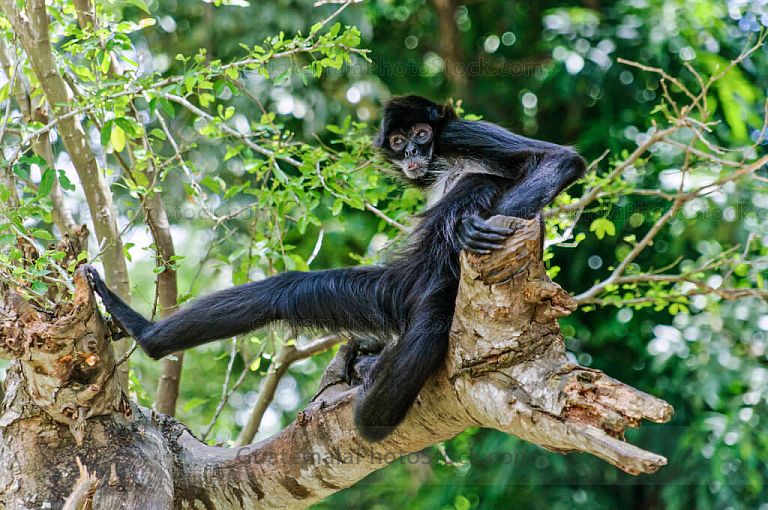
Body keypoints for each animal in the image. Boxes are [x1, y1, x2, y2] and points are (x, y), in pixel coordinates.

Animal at [85, 95, 586, 441]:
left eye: (423, 134)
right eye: (400, 142)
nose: (412, 155)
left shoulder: (459, 132)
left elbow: (561, 160)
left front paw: (467, 229)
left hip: (403, 289)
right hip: (387, 295)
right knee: (288, 291)